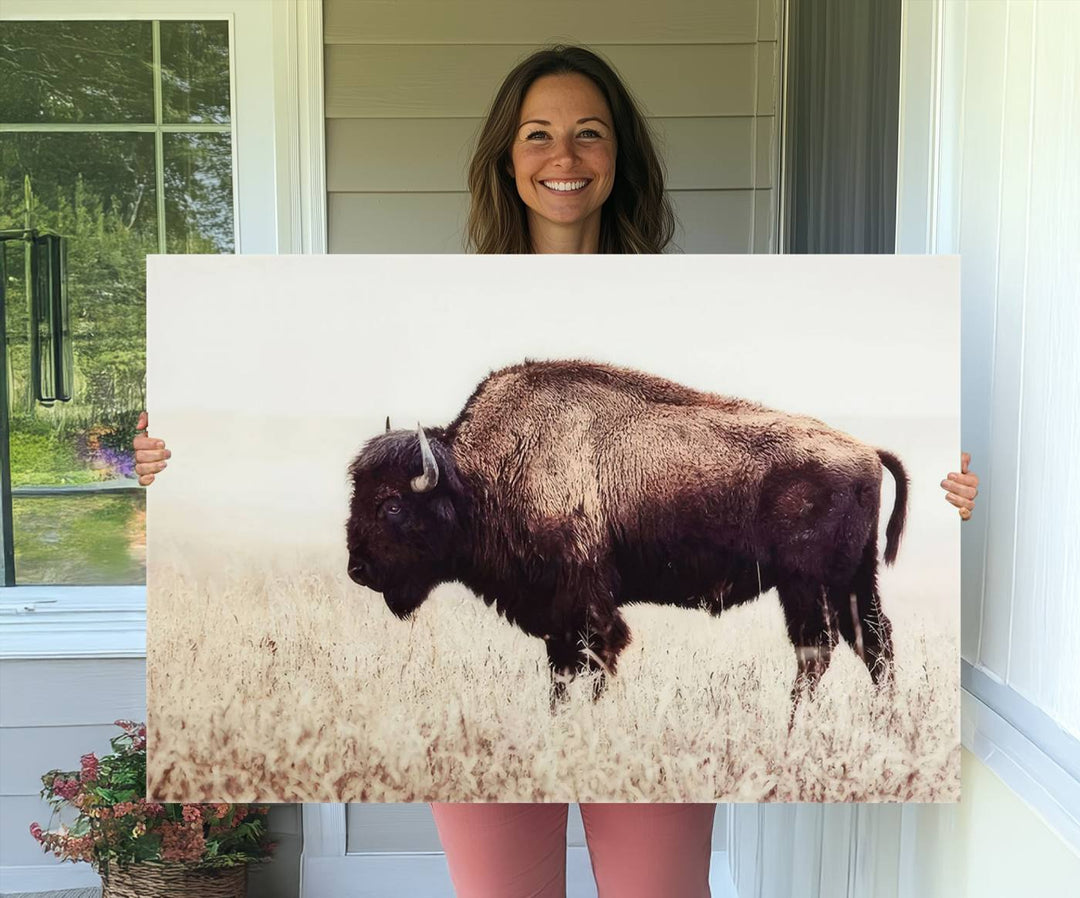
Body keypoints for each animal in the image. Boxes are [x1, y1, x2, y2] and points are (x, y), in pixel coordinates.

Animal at [343, 358, 902, 717]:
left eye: (391, 504)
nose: (358, 569)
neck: (479, 476)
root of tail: (867, 450)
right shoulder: (558, 615)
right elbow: (562, 670)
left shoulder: (585, 602)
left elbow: (593, 659)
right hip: (854, 581)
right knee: (873, 643)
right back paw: (883, 721)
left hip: (807, 584)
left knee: (819, 649)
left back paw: (793, 724)